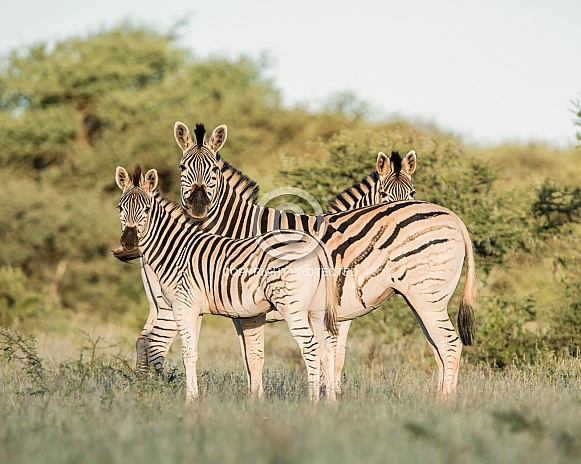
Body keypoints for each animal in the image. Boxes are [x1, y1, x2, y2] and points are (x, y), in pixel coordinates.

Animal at [113, 165, 338, 400]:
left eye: (147, 210)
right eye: (120, 207)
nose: (129, 242)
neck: (177, 249)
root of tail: (314, 244)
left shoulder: (183, 306)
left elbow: (186, 352)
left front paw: (189, 399)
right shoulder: (196, 309)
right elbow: (193, 353)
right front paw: (194, 397)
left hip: (292, 306)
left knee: (311, 347)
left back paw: (312, 401)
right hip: (317, 308)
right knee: (326, 348)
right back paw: (329, 402)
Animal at [142, 121, 476, 396]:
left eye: (213, 170)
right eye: (182, 167)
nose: (198, 206)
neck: (240, 227)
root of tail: (455, 218)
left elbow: (271, 357)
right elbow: (259, 358)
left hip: (425, 294)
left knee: (447, 345)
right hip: (423, 297)